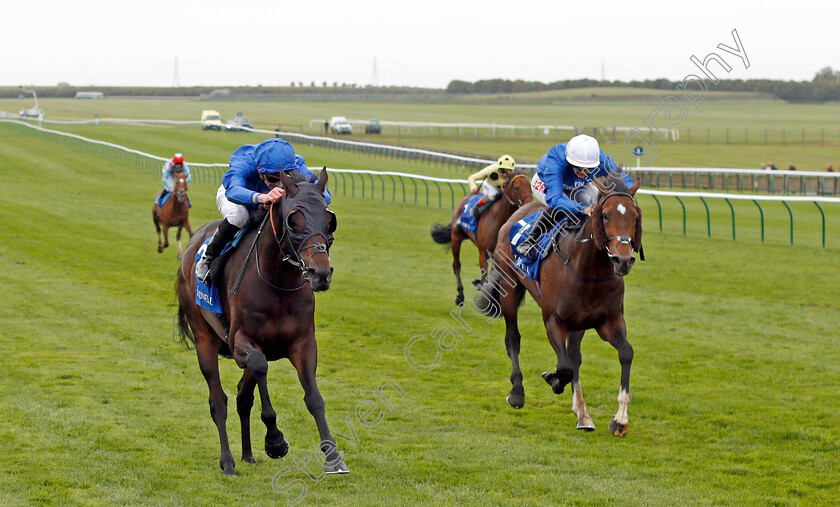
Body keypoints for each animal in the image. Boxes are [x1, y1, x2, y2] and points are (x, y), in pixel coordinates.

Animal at [177, 170, 348, 476]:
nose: (320, 273)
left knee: (243, 397)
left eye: (329, 220)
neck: (277, 282)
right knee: (218, 400)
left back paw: (247, 454)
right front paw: (275, 440)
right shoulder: (241, 342)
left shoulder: (303, 343)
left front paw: (332, 456)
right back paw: (228, 461)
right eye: (294, 220)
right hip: (204, 337)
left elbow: (314, 397)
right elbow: (259, 367)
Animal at [434, 171, 532, 306]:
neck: (498, 218)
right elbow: (484, 278)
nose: (529, 203)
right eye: (517, 188)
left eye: (530, 187)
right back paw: (460, 296)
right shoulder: (483, 252)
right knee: (457, 265)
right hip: (456, 236)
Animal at [480, 180, 644, 436]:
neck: (589, 269)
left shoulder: (609, 322)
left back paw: (582, 414)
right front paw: (553, 379)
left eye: (635, 216)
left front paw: (620, 419)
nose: (623, 260)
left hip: (579, 322)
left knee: (575, 355)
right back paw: (517, 392)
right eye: (605, 215)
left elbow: (625, 353)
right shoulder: (554, 320)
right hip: (510, 287)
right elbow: (564, 367)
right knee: (513, 338)